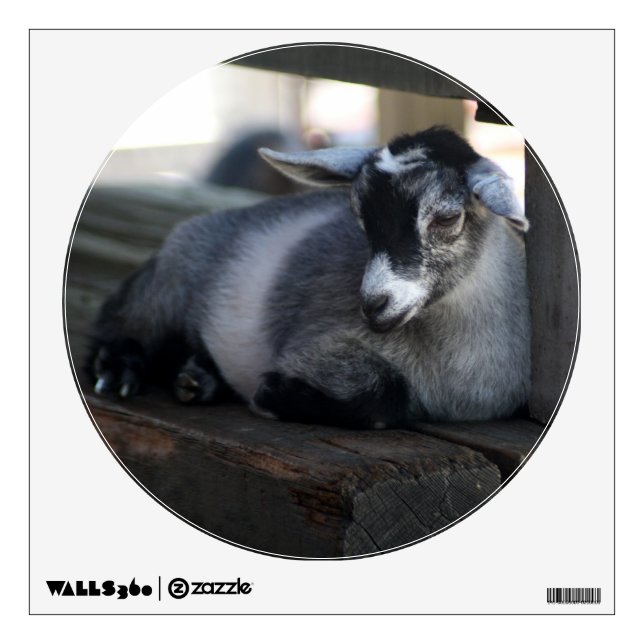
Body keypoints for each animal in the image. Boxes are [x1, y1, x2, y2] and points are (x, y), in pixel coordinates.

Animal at [87, 126, 530, 430]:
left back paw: (198, 379)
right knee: (120, 318)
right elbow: (386, 398)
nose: (373, 304)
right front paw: (274, 394)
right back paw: (120, 371)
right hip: (169, 281)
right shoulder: (318, 344)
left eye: (448, 217)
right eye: (358, 215)